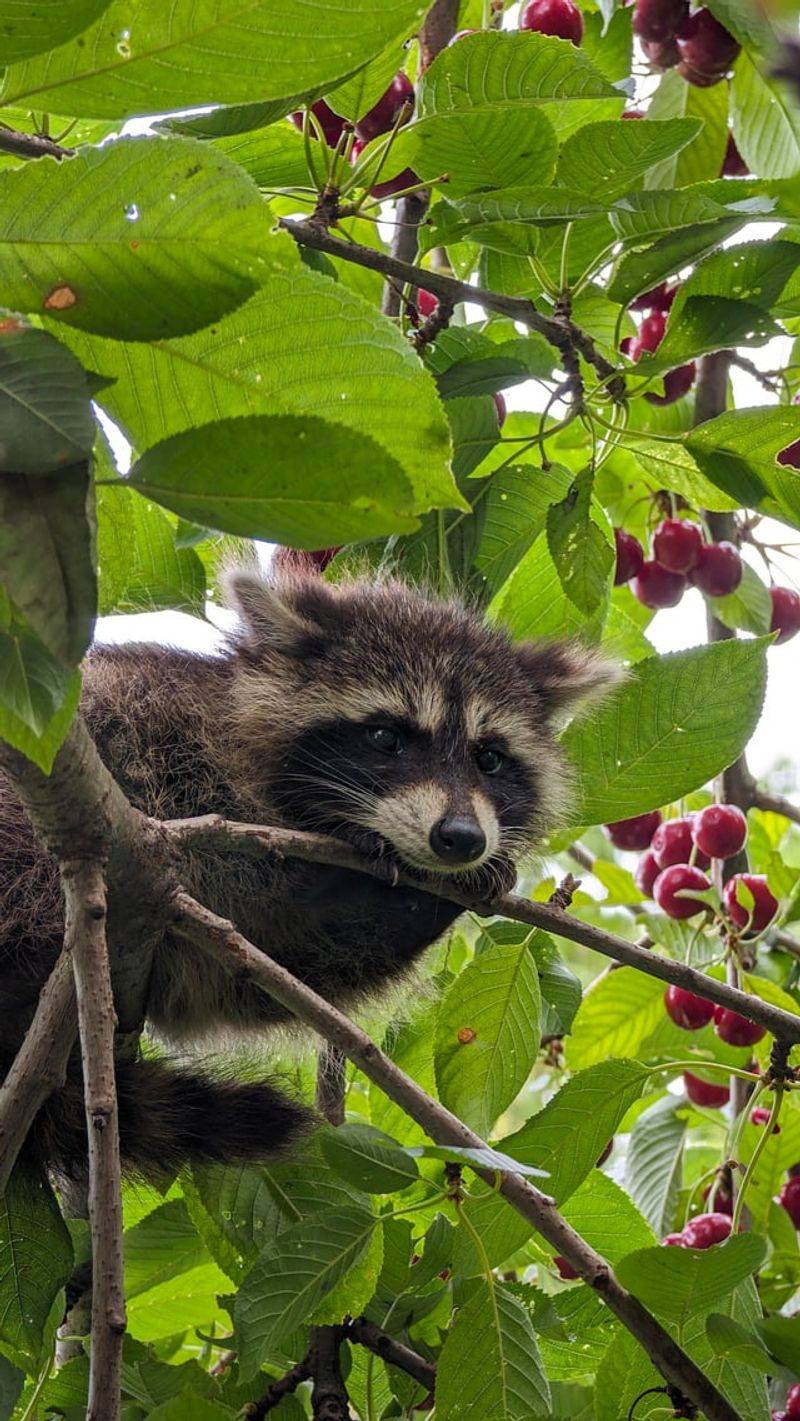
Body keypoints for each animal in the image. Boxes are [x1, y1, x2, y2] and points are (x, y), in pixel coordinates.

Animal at [0, 569, 619, 1177]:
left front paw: (443, 893)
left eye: (489, 757)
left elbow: (276, 963)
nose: (462, 838)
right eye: (386, 737)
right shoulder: (166, 734)